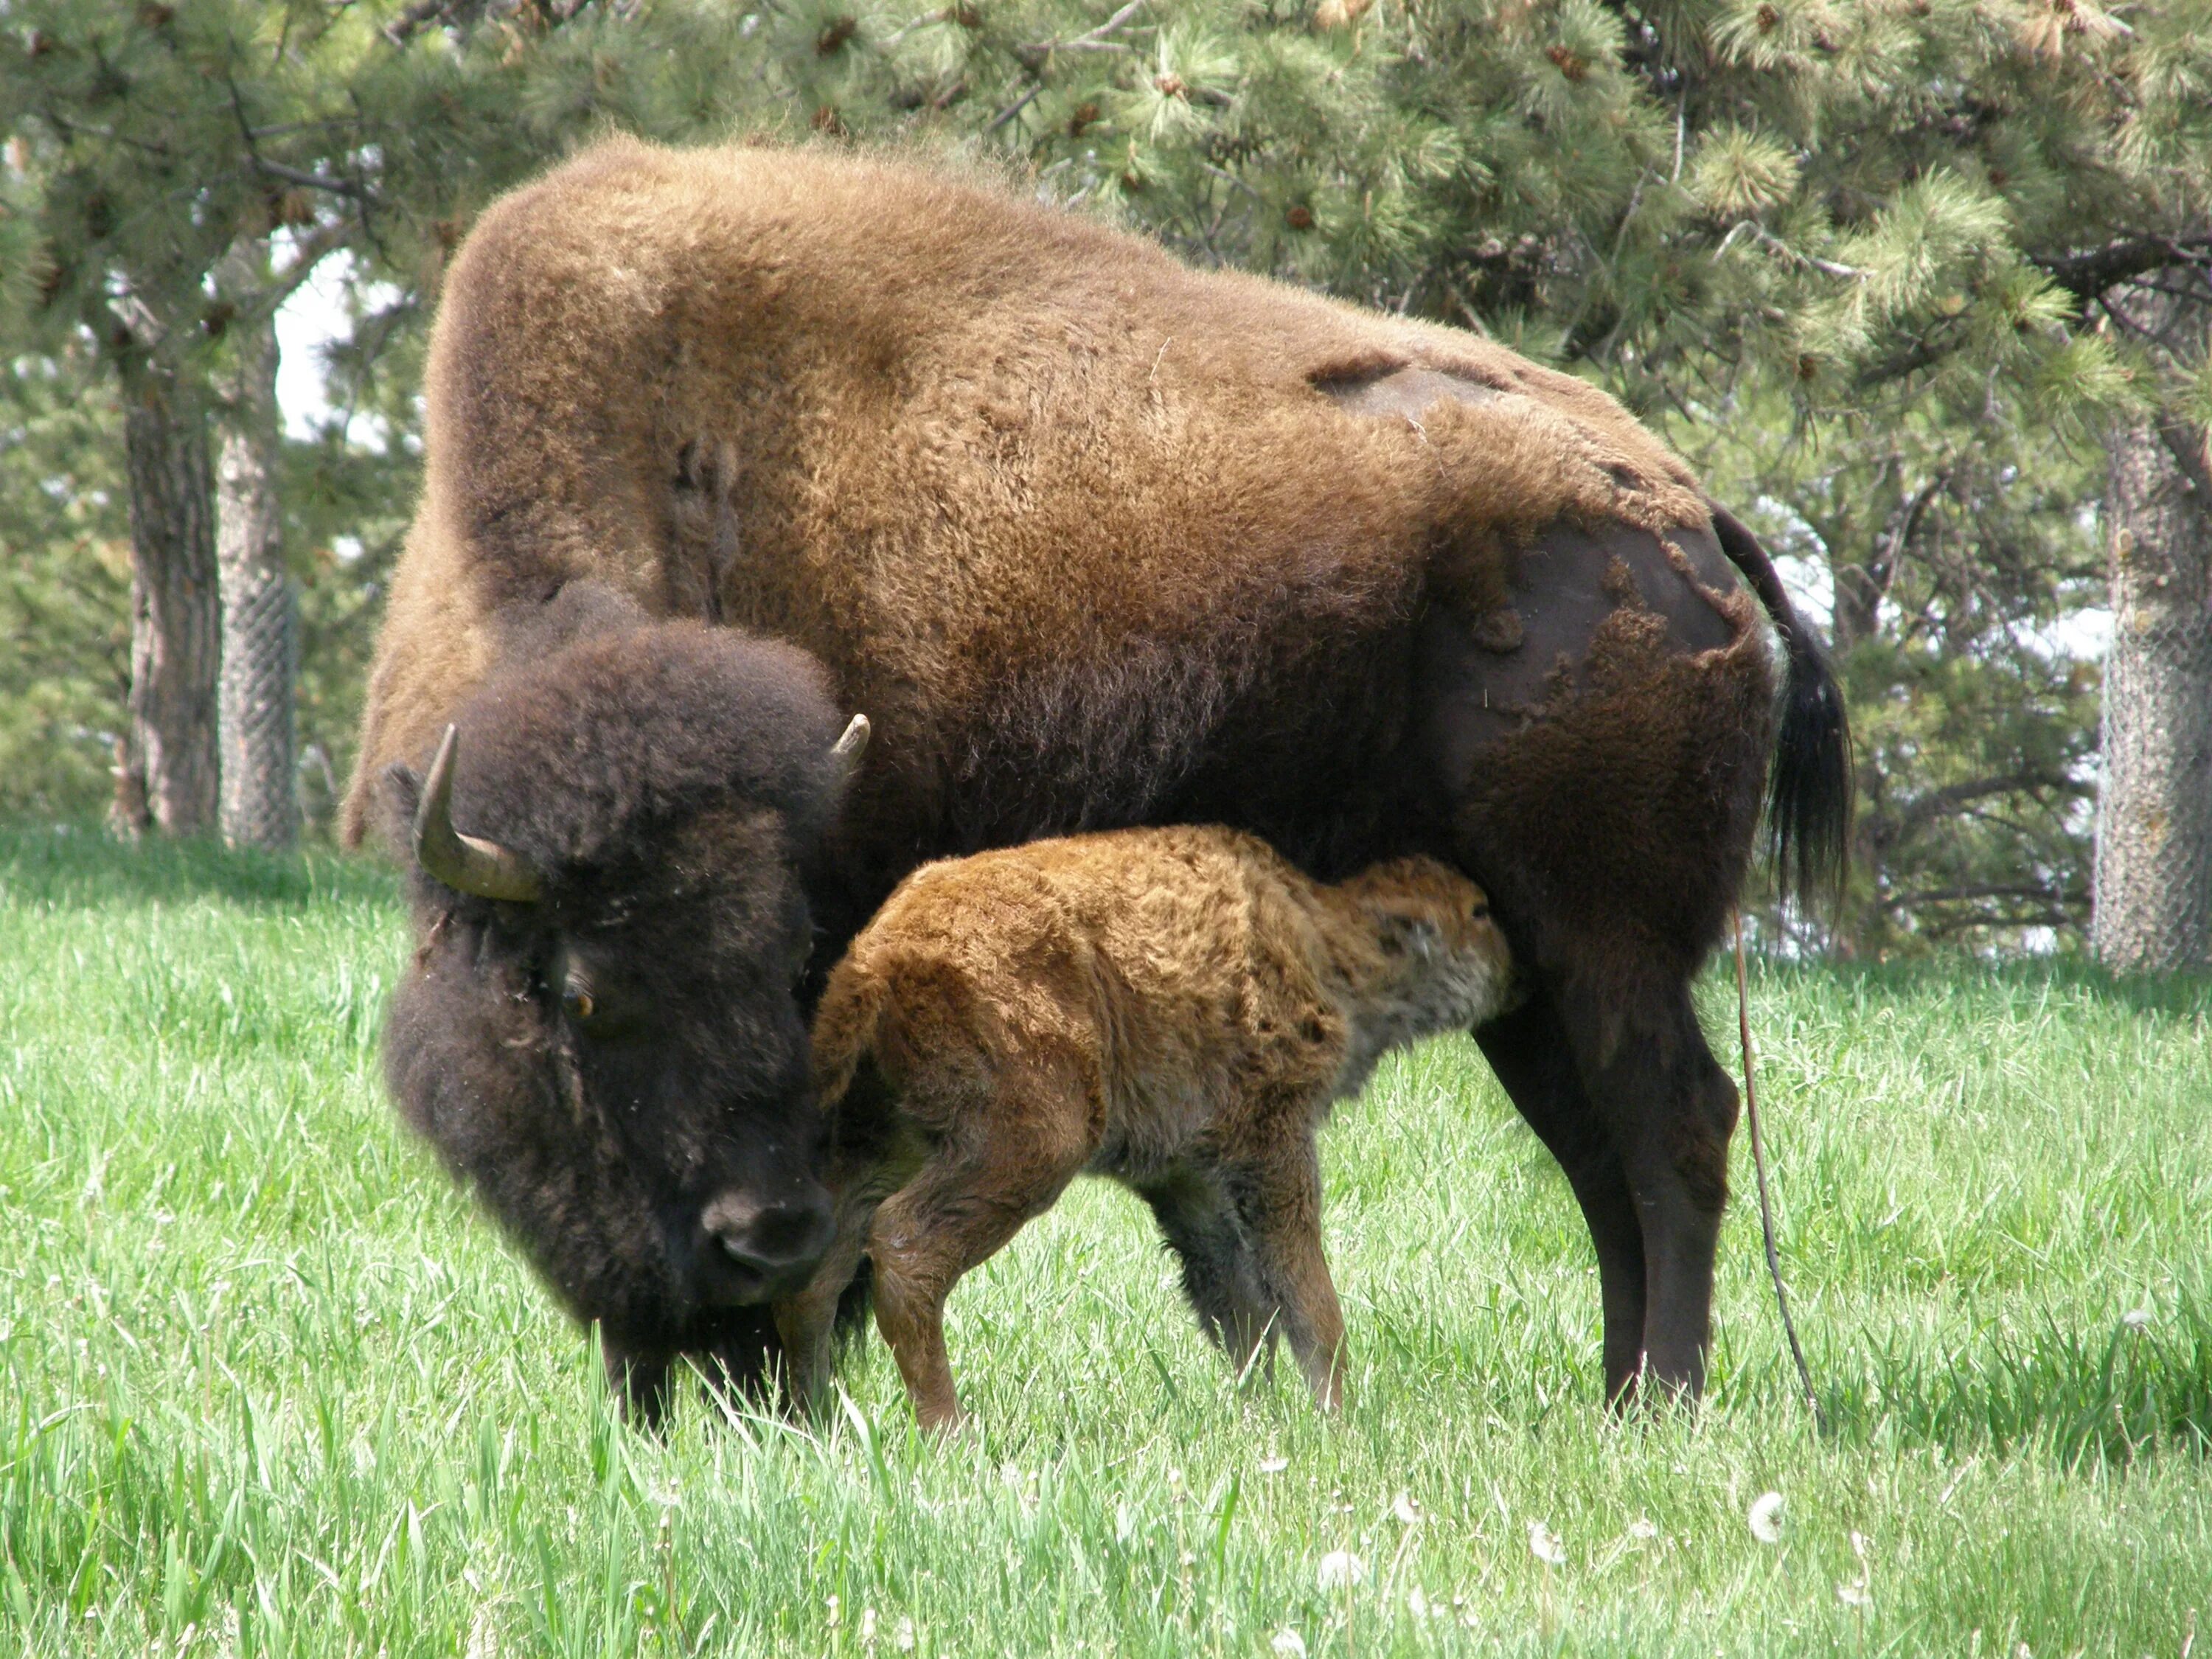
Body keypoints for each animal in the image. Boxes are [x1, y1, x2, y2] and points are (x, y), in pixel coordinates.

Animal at [779, 827, 1522, 1433]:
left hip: (887, 1142)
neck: (1323, 939)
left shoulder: (1192, 1181)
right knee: (906, 1248)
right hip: (1028, 1145)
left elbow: (1241, 1309)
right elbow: (1306, 1297)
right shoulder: (1274, 1145)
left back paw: (816, 1424)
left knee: (825, 1266)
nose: (1515, 974)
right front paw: (1337, 1419)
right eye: (1478, 913)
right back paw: (947, 1430)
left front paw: (1260, 1419)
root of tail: (876, 959)